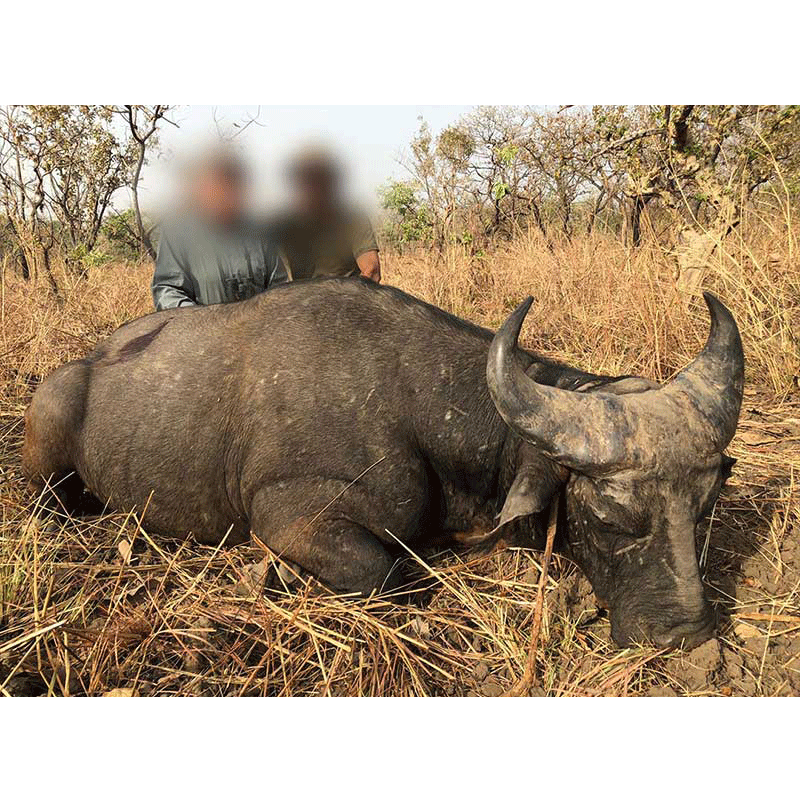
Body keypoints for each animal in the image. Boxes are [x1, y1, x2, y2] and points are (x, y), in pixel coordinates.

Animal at [21, 278, 744, 648]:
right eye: (614, 520)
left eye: (703, 508)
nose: (686, 632)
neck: (414, 401)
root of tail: (91, 361)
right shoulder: (288, 517)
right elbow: (385, 573)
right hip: (51, 435)